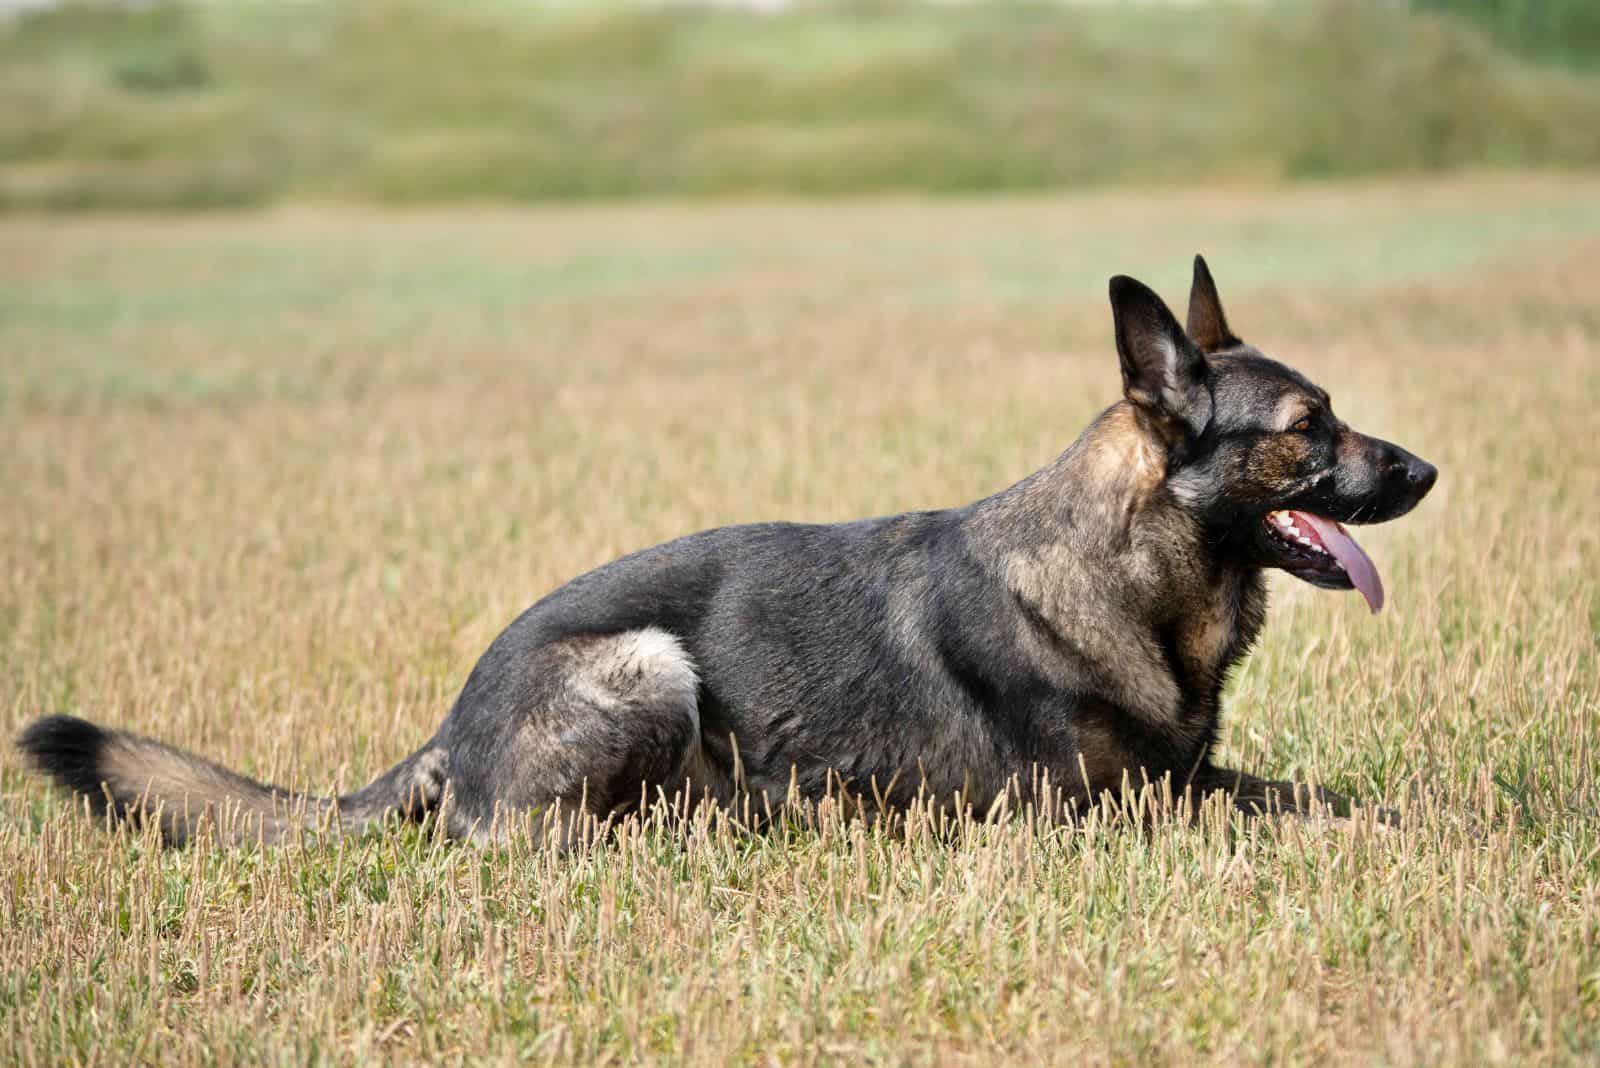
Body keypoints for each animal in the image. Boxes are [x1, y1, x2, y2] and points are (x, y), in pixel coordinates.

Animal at [15, 255, 1440, 844]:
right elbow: (1287, 808)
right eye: (1309, 429)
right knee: (532, 846)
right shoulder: (1108, 808)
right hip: (647, 662)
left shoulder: (1173, 781)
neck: (1125, 569)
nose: (1426, 471)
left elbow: (1299, 790)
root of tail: (450, 729)